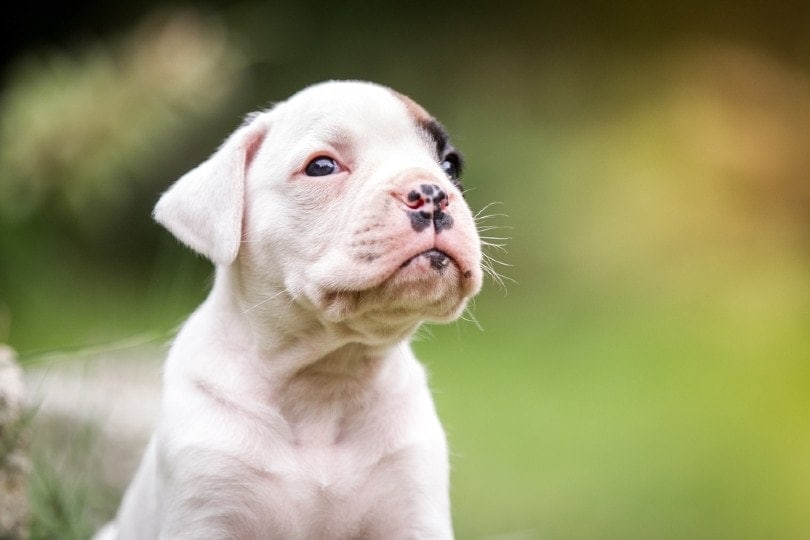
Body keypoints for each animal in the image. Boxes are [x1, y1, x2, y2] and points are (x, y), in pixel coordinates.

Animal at [98, 80, 482, 540]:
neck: (326, 375)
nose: (431, 192)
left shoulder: (414, 510)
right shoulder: (206, 505)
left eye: (450, 165)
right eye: (322, 167)